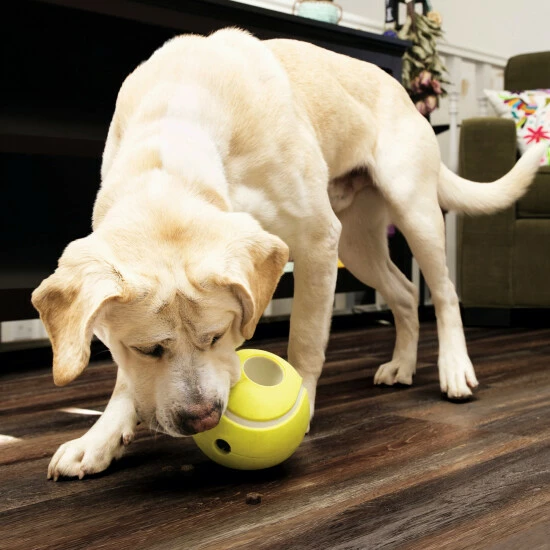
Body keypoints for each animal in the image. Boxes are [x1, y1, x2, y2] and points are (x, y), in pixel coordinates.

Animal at [32, 29, 544, 480]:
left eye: (219, 336)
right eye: (147, 348)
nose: (202, 419)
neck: (173, 137)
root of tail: (404, 93)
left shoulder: (317, 242)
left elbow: (306, 340)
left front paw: (303, 404)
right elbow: (126, 379)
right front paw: (100, 438)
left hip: (413, 213)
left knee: (443, 294)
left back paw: (455, 369)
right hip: (358, 244)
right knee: (401, 293)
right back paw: (402, 364)